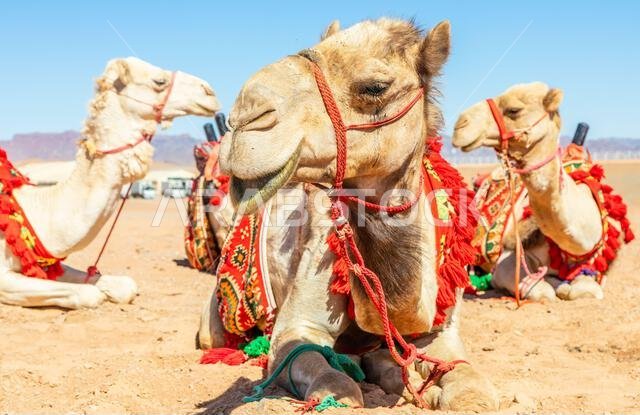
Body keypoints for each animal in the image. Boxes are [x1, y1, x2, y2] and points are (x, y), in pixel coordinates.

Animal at [0, 57, 219, 309]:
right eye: (159, 81)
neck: (34, 212)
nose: (210, 92)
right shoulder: (4, 276)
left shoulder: (50, 265)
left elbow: (123, 285)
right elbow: (89, 294)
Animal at [198, 19, 498, 411]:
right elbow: (326, 375)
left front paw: (433, 388)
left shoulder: (440, 327)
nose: (245, 118)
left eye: (375, 87)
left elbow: (470, 385)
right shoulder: (296, 327)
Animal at [452, 82, 632, 301]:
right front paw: (554, 285)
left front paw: (564, 285)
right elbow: (543, 292)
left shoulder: (597, 265)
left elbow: (587, 289)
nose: (460, 125)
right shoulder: (506, 260)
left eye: (514, 110)